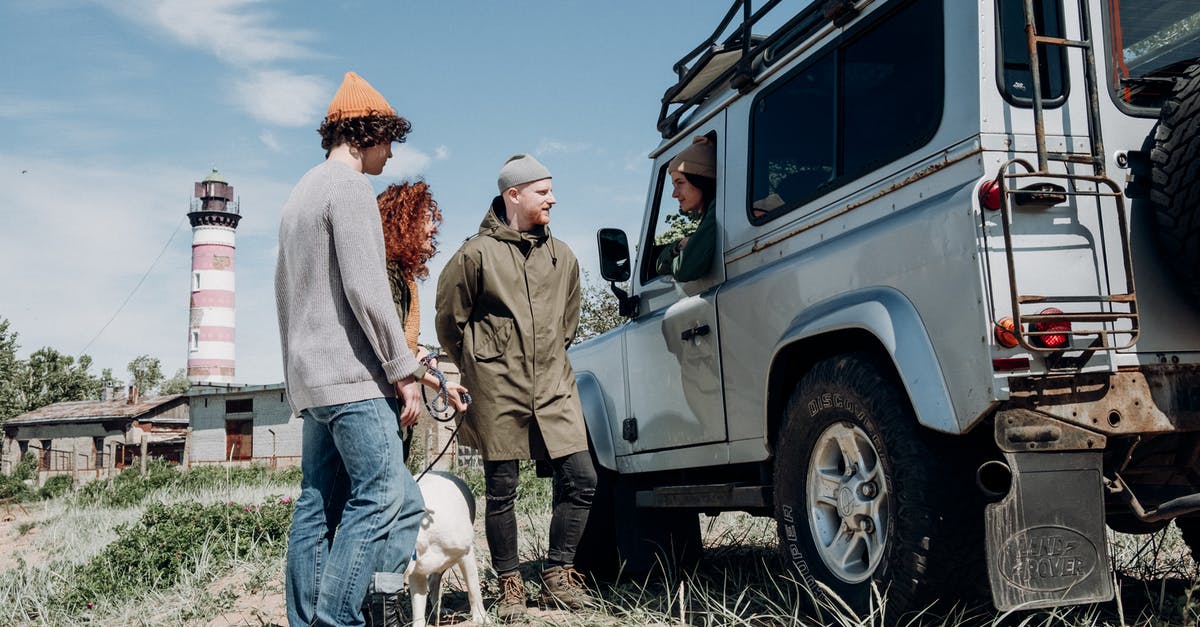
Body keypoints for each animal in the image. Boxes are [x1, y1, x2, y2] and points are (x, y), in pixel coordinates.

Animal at [405, 470, 489, 619]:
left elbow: (473, 590)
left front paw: (481, 618)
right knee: (433, 581)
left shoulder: (467, 555)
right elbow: (418, 611)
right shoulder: (416, 574)